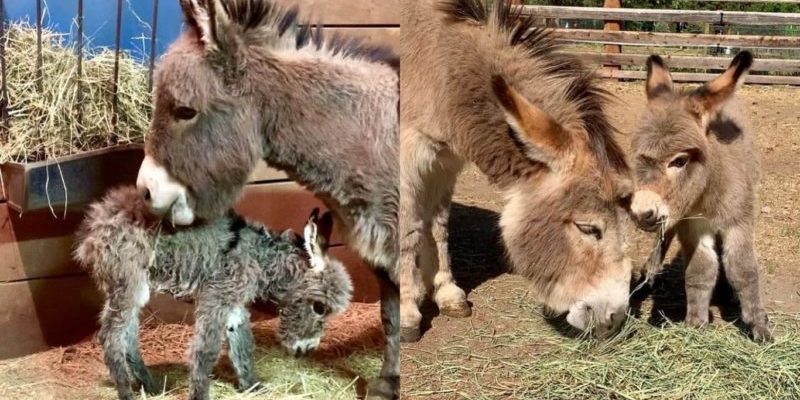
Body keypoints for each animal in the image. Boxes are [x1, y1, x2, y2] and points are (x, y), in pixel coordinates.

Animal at [75, 188, 354, 400]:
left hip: (131, 288)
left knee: (128, 336)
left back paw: (152, 388)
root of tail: (99, 216)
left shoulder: (233, 303)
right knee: (111, 336)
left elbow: (243, 343)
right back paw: (127, 393)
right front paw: (200, 395)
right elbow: (206, 350)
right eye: (320, 308)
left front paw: (253, 386)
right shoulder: (217, 298)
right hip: (128, 283)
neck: (259, 256)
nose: (307, 350)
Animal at [632, 51, 768, 342]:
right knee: (664, 238)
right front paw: (696, 324)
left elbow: (744, 270)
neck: (709, 195)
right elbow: (699, 270)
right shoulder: (691, 224)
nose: (641, 213)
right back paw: (649, 276)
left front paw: (758, 325)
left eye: (680, 161)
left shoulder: (739, 222)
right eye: (638, 156)